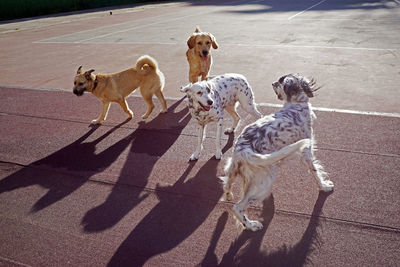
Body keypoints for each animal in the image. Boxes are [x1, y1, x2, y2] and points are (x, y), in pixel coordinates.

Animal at [222, 74, 334, 232]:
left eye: (281, 81)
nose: (273, 82)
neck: (296, 104)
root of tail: (242, 150)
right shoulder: (306, 152)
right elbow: (316, 172)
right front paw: (324, 186)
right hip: (263, 184)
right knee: (238, 208)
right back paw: (252, 225)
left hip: (235, 172)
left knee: (227, 188)